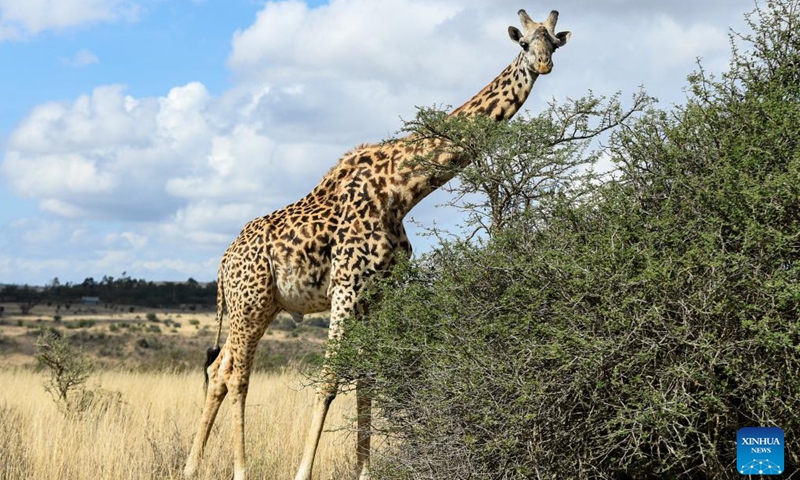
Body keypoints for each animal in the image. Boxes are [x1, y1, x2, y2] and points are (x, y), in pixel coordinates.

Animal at [183, 7, 568, 480]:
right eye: (524, 43)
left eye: (554, 43)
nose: (543, 65)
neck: (401, 191)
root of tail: (222, 265)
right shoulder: (346, 288)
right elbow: (330, 379)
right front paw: (303, 471)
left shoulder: (378, 296)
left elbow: (368, 377)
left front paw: (364, 470)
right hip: (250, 303)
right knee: (237, 374)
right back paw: (239, 469)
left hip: (261, 305)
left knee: (219, 369)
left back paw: (192, 466)